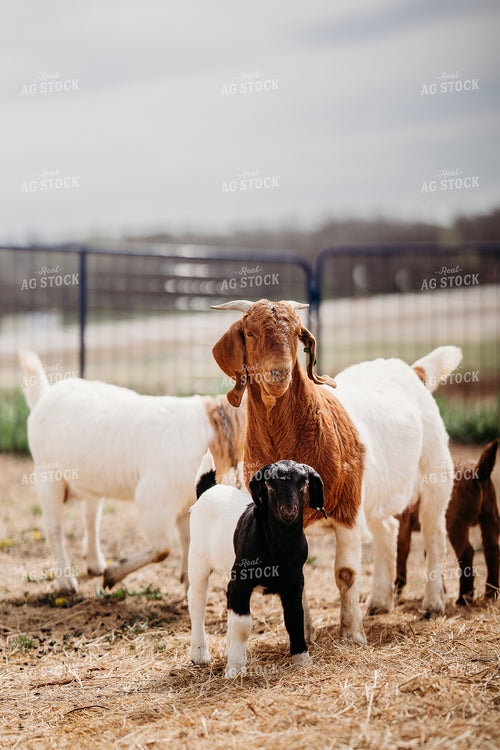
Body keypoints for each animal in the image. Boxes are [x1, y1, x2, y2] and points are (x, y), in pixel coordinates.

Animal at [19, 350, 246, 594]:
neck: (215, 429)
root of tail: (44, 395)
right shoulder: (155, 500)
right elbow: (162, 549)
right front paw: (113, 573)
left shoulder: (187, 499)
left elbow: (188, 539)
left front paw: (187, 583)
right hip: (47, 477)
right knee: (55, 530)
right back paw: (66, 582)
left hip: (90, 484)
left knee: (91, 520)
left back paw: (95, 564)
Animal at [188, 451, 325, 677]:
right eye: (269, 484)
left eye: (304, 483)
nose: (289, 511)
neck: (279, 547)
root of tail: (209, 488)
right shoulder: (242, 580)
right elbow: (243, 624)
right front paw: (235, 668)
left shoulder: (295, 581)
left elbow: (295, 617)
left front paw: (302, 659)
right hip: (198, 559)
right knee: (197, 600)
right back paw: (200, 654)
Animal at [211, 299, 462, 644]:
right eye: (249, 333)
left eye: (297, 333)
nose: (279, 373)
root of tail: (412, 371)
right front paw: (305, 632)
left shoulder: (347, 508)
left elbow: (346, 573)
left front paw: (352, 634)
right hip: (374, 492)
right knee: (388, 530)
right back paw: (380, 602)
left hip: (435, 472)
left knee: (434, 532)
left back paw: (433, 603)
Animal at [395, 439, 499, 604]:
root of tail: (478, 471)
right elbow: (430, 553)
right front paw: (439, 591)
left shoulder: (402, 522)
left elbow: (402, 550)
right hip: (491, 515)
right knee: (492, 548)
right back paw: (491, 594)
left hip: (457, 522)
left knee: (467, 551)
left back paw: (463, 598)